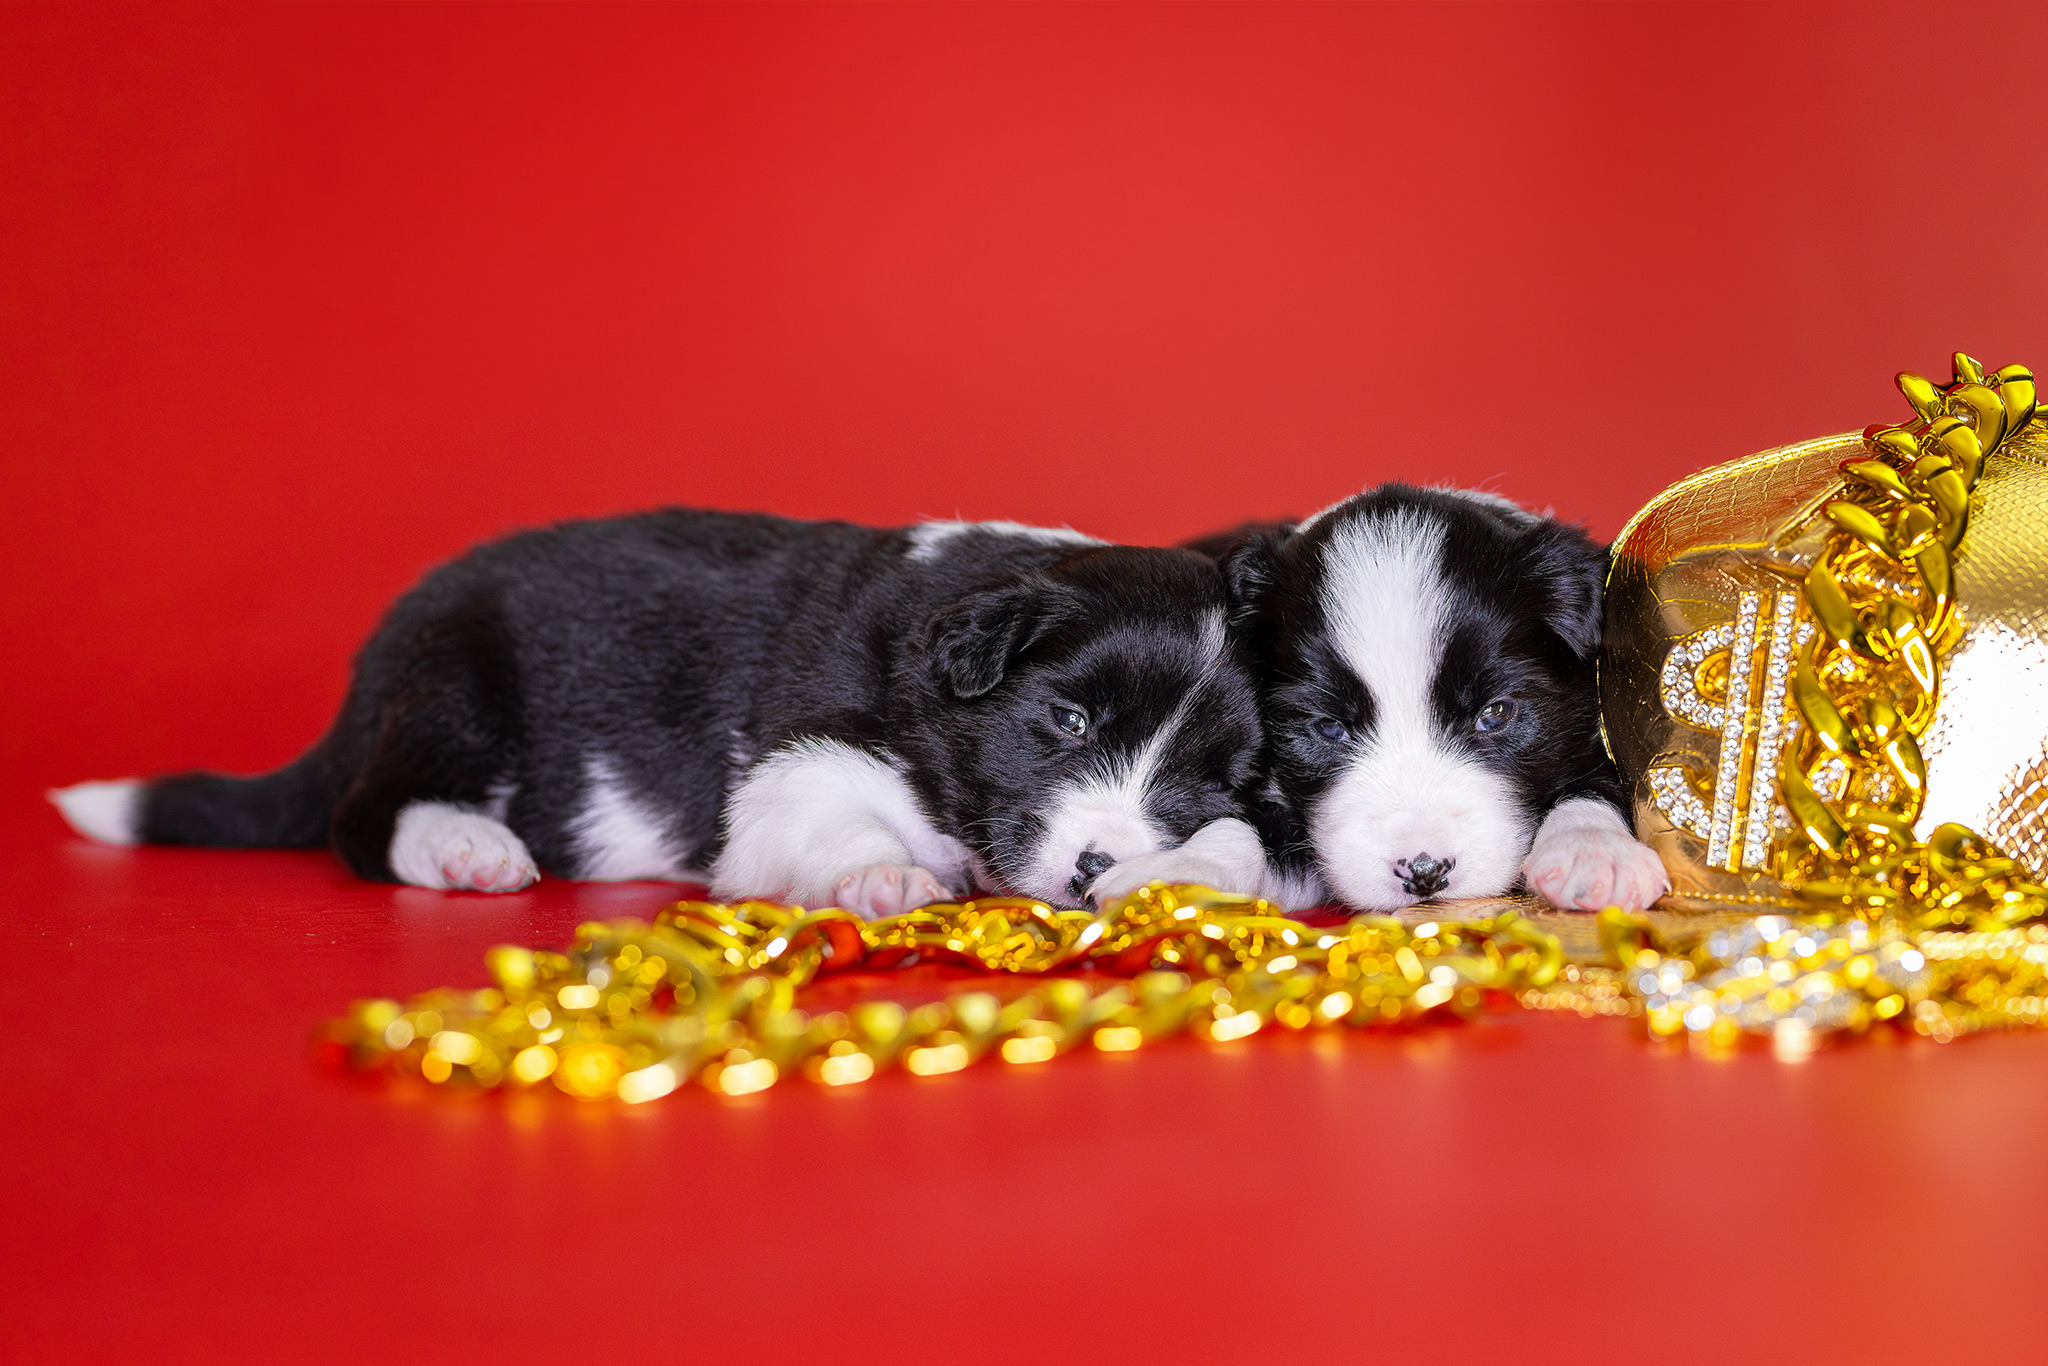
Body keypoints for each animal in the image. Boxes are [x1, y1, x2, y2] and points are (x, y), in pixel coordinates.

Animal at [48, 507, 1261, 913]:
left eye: (1209, 774)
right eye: (1067, 723)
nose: (1097, 868)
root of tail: (362, 680)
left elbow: (1242, 843)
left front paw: (1197, 869)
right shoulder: (795, 761)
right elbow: (827, 821)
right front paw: (882, 879)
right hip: (454, 685)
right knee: (366, 813)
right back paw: (466, 848)